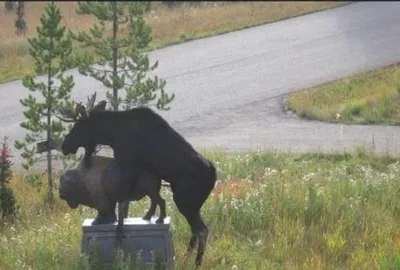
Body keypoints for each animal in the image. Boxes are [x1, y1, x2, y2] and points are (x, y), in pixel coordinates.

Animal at [59, 93, 216, 268]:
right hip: (190, 204)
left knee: (202, 230)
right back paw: (187, 258)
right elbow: (129, 202)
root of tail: (214, 175)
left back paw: (196, 263)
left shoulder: (128, 164)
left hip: (185, 201)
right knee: (195, 229)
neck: (111, 134)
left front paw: (119, 239)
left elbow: (122, 202)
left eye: (78, 126)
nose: (64, 145)